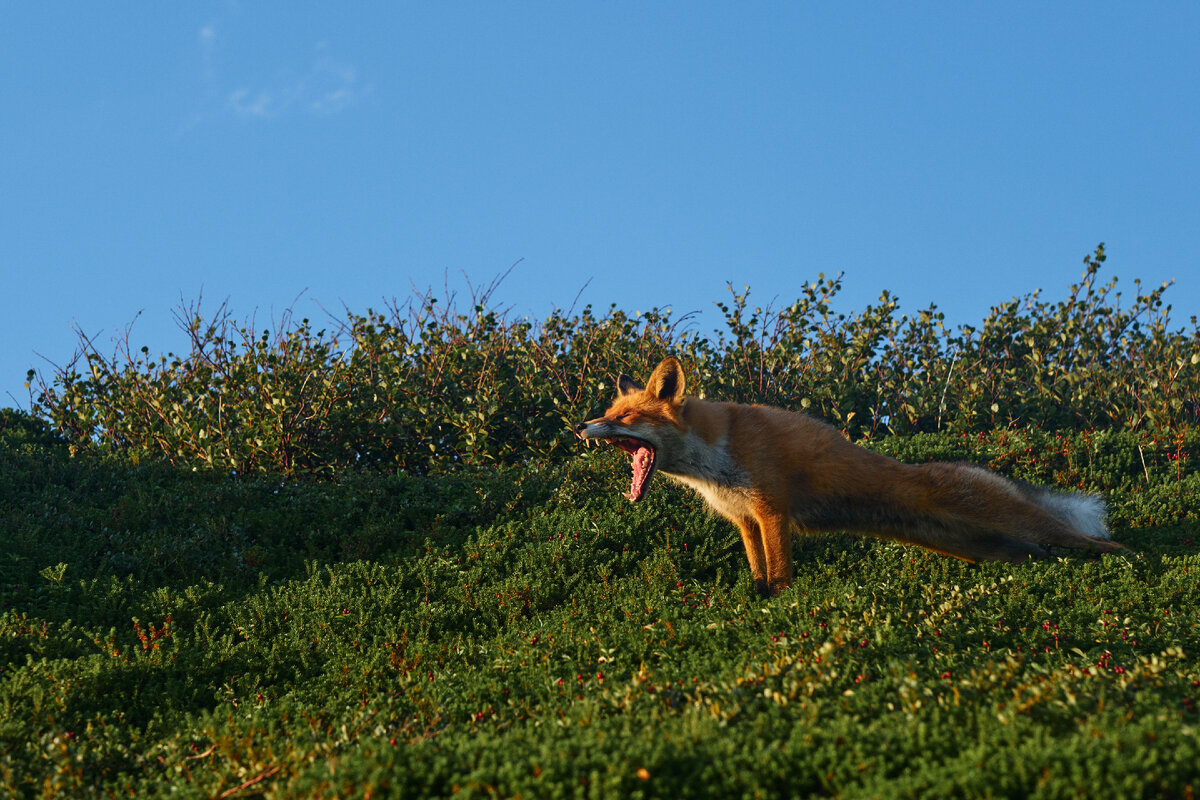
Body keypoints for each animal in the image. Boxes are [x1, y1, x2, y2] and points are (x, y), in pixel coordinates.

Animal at [576, 357, 1118, 594]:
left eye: (625, 417)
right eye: (608, 411)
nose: (582, 426)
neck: (714, 460)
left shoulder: (772, 509)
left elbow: (779, 574)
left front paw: (779, 606)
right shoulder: (746, 520)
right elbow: (757, 573)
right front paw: (755, 602)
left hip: (1021, 526)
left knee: (1104, 543)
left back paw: (1130, 560)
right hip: (986, 548)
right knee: (1039, 554)